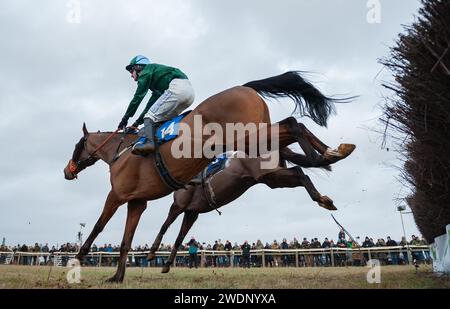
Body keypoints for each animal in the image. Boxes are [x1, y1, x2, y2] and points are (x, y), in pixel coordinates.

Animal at [63, 71, 352, 282]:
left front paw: (78, 260)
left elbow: (99, 227)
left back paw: (326, 155)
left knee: (293, 124)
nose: (67, 170)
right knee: (297, 156)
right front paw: (117, 276)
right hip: (265, 163)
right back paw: (331, 158)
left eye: (77, 145)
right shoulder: (138, 202)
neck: (121, 152)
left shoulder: (119, 195)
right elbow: (127, 241)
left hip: (246, 138)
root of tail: (244, 87)